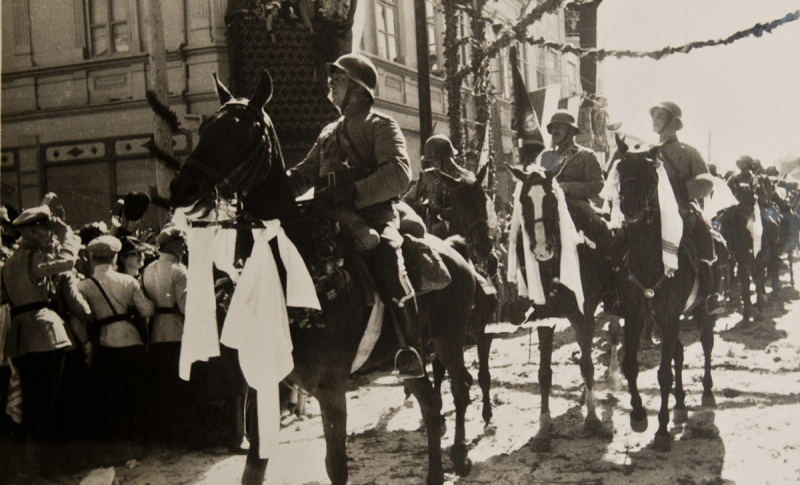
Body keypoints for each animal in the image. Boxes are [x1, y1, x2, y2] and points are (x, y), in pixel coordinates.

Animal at [169, 70, 477, 485]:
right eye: (204, 128)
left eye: (240, 131)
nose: (182, 187)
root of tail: (455, 251)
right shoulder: (262, 384)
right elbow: (254, 466)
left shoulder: (330, 389)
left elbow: (336, 466)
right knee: (431, 403)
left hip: (449, 339)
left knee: (458, 390)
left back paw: (458, 455)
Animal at [505, 166, 616, 452]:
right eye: (524, 201)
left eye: (553, 200)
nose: (542, 249)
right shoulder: (544, 318)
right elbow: (544, 373)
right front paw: (544, 428)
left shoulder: (583, 315)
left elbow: (587, 364)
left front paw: (592, 419)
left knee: (614, 336)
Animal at [613, 138, 718, 451]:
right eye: (621, 167)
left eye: (651, 172)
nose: (629, 206)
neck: (650, 261)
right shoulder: (637, 317)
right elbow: (631, 365)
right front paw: (638, 415)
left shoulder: (670, 317)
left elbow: (663, 374)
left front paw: (661, 430)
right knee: (679, 354)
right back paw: (681, 404)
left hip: (701, 311)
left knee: (706, 344)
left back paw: (706, 392)